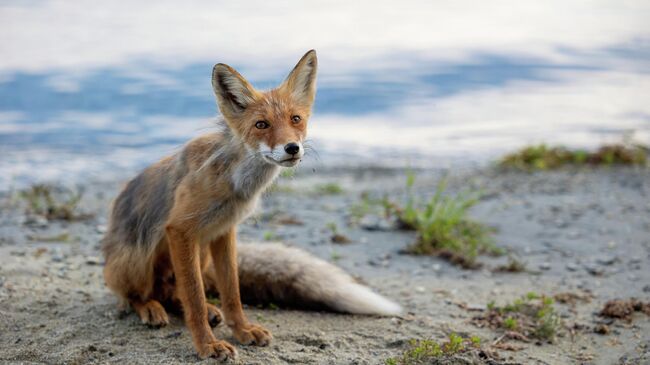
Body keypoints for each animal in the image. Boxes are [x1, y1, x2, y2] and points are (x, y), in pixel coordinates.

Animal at [101, 49, 400, 360]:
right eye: (261, 124)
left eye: (295, 119)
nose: (292, 148)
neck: (233, 184)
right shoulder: (180, 230)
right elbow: (194, 297)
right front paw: (207, 345)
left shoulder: (223, 231)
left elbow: (231, 292)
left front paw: (242, 330)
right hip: (139, 257)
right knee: (135, 295)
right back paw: (149, 307)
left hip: (200, 254)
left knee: (173, 292)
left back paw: (201, 309)